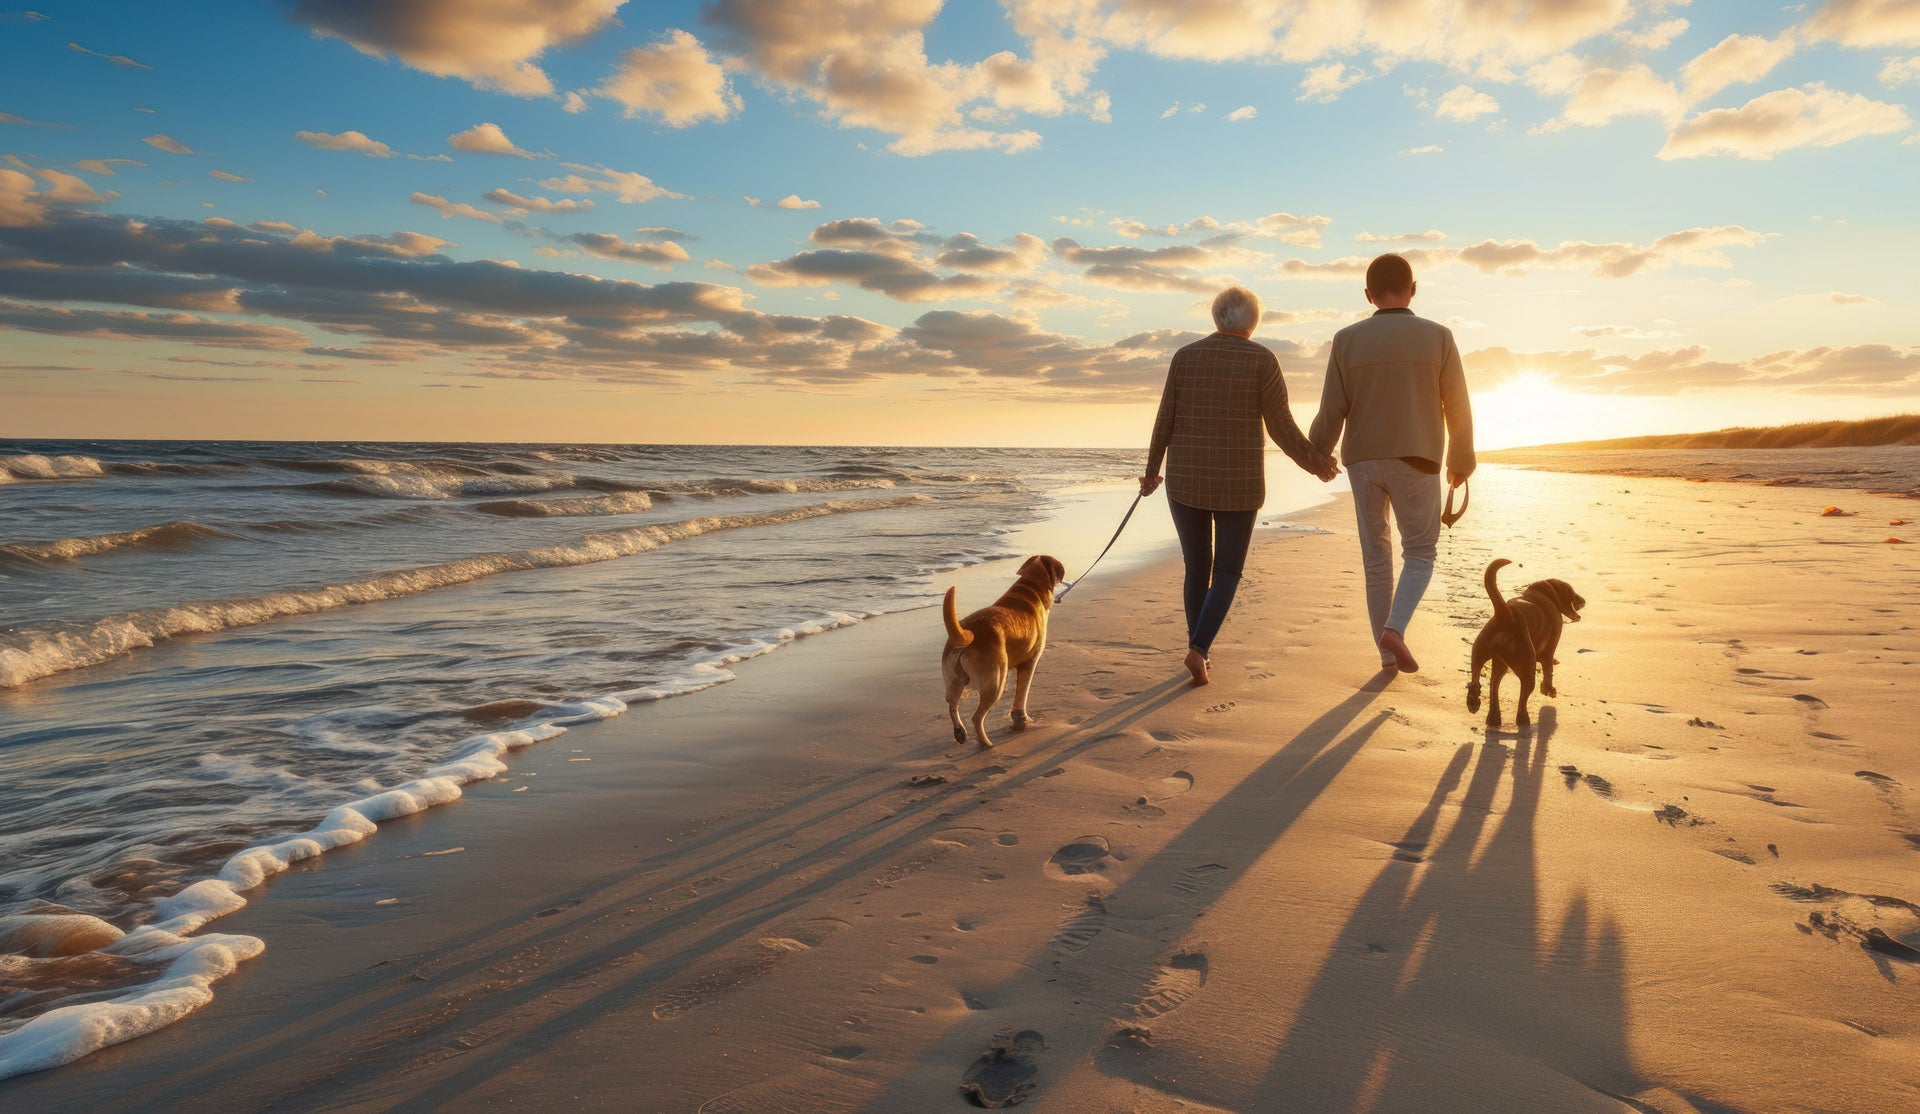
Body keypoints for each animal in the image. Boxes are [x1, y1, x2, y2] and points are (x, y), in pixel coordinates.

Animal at [940, 553, 1067, 749]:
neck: (1031, 587)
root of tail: (965, 633)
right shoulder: (1029, 663)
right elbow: (1021, 697)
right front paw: (1023, 719)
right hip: (996, 681)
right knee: (977, 717)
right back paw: (986, 743)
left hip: (954, 679)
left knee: (952, 704)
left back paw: (960, 732)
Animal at [1466, 557, 1589, 729]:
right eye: (1571, 591)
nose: (1583, 600)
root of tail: (1506, 615)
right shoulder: (1549, 650)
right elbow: (1548, 670)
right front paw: (1548, 689)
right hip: (1526, 667)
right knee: (1523, 696)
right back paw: (1523, 719)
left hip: (1484, 654)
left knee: (1484, 681)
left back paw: (1480, 707)